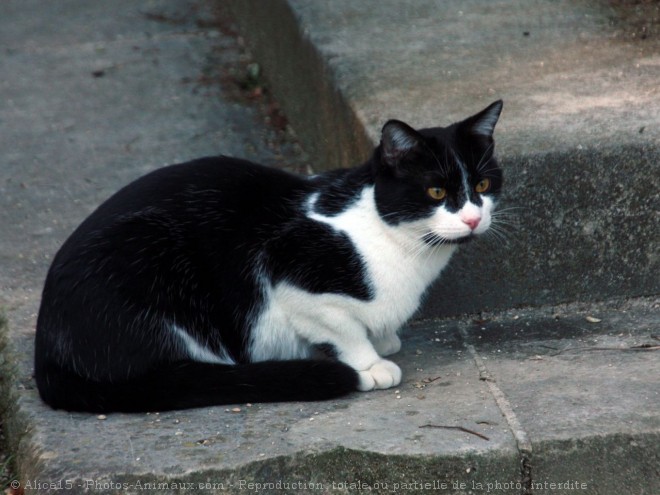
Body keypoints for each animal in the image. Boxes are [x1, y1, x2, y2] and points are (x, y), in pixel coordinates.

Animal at [33, 99, 502, 412]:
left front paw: (384, 337)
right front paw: (369, 363)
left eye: (482, 185)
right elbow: (342, 327)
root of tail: (46, 349)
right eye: (436, 191)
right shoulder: (285, 272)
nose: (473, 219)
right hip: (152, 259)